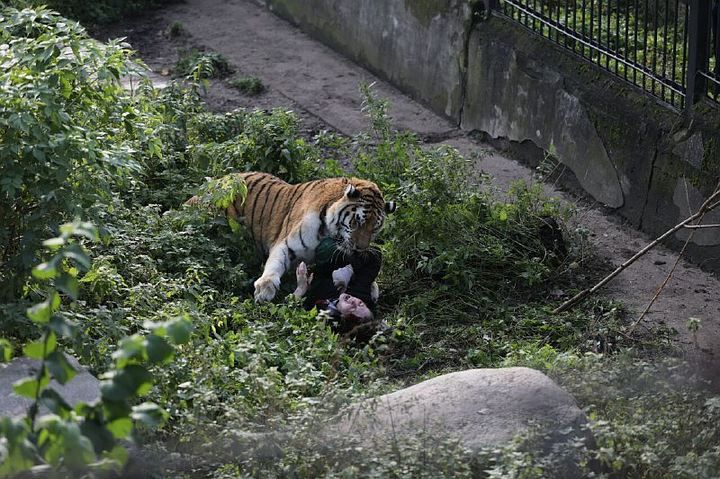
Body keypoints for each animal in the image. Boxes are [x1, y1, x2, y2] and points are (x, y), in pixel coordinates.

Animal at [221, 171, 395, 302]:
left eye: (374, 229)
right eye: (356, 222)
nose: (360, 249)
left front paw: (372, 287)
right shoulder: (286, 244)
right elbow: (275, 263)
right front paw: (265, 288)